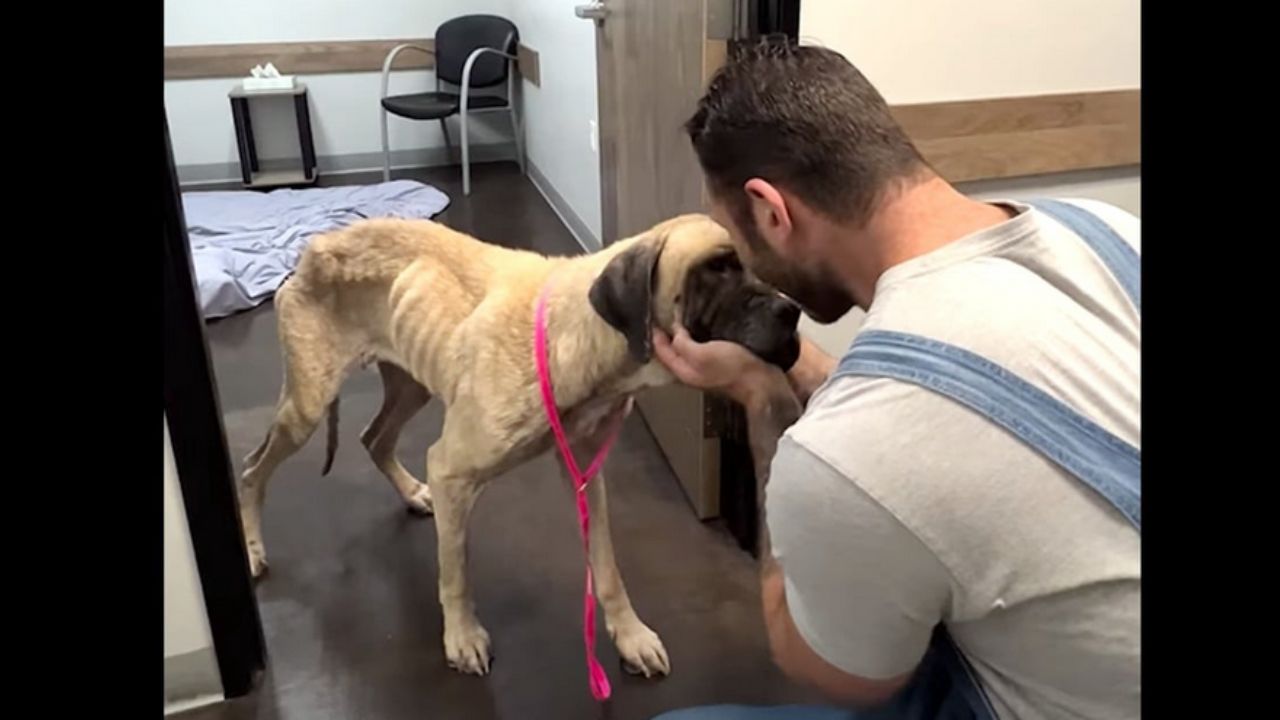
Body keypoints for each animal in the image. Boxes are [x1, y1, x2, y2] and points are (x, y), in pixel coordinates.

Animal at [238, 212, 798, 676]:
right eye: (717, 269)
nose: (793, 313)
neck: (588, 339)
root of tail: (312, 250)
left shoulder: (586, 472)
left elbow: (607, 567)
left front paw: (629, 635)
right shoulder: (451, 469)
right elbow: (455, 570)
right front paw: (462, 636)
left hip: (409, 384)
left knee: (373, 439)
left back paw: (410, 493)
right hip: (306, 409)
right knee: (251, 469)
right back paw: (252, 547)